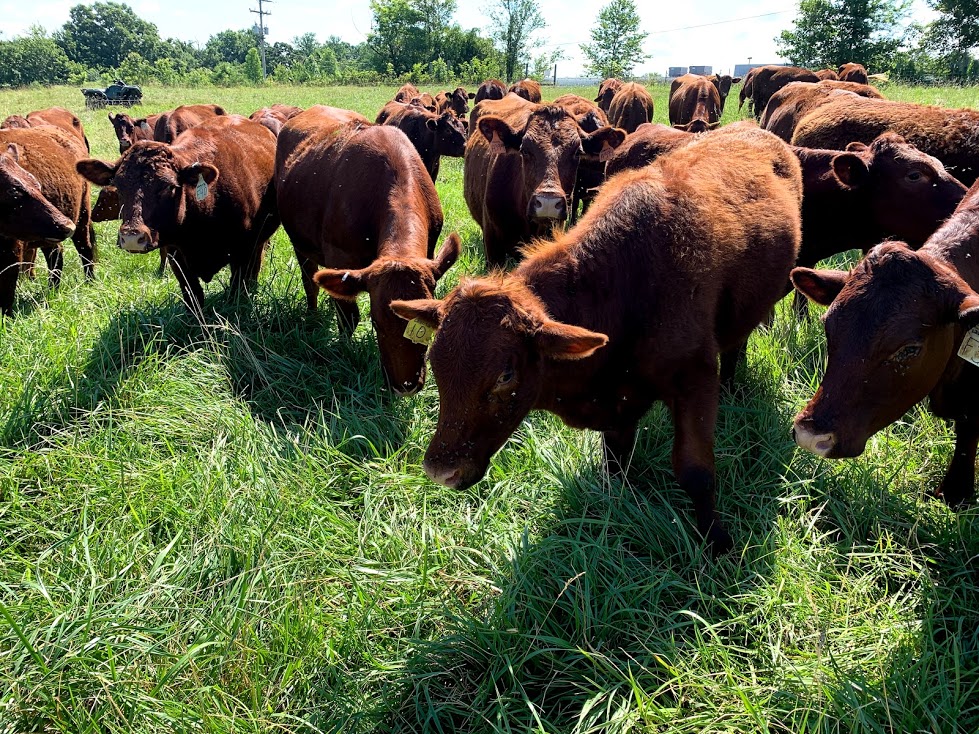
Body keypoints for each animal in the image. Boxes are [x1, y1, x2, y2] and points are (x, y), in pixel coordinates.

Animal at [0, 128, 95, 315]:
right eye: (14, 192)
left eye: (37, 185)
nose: (67, 225)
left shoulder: (12, 252)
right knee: (56, 253)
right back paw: (53, 288)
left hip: (82, 217)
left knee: (84, 249)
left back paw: (90, 281)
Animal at [76, 116, 279, 316]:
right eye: (118, 186)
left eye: (168, 186)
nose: (132, 237)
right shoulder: (176, 255)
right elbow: (193, 295)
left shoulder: (244, 251)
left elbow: (237, 294)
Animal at [275, 105, 460, 395]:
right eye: (376, 323)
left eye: (428, 326)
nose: (405, 386)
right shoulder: (339, 257)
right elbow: (348, 317)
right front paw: (344, 350)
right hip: (300, 244)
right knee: (310, 282)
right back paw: (313, 315)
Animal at [391, 125, 803, 554]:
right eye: (435, 363)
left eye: (505, 376)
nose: (440, 470)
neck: (626, 283)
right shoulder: (618, 399)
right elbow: (615, 461)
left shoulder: (695, 377)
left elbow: (696, 471)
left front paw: (718, 542)